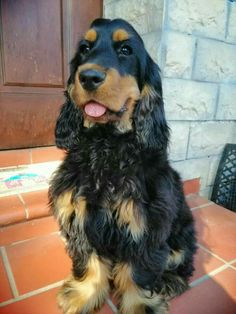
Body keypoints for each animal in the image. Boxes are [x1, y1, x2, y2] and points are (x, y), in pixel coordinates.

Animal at [49, 18, 197, 312]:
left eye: (126, 50)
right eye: (84, 48)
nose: (89, 77)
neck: (106, 145)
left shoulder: (146, 223)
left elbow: (138, 271)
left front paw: (140, 305)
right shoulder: (79, 215)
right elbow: (89, 262)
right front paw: (82, 295)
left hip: (183, 233)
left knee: (182, 264)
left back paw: (170, 283)